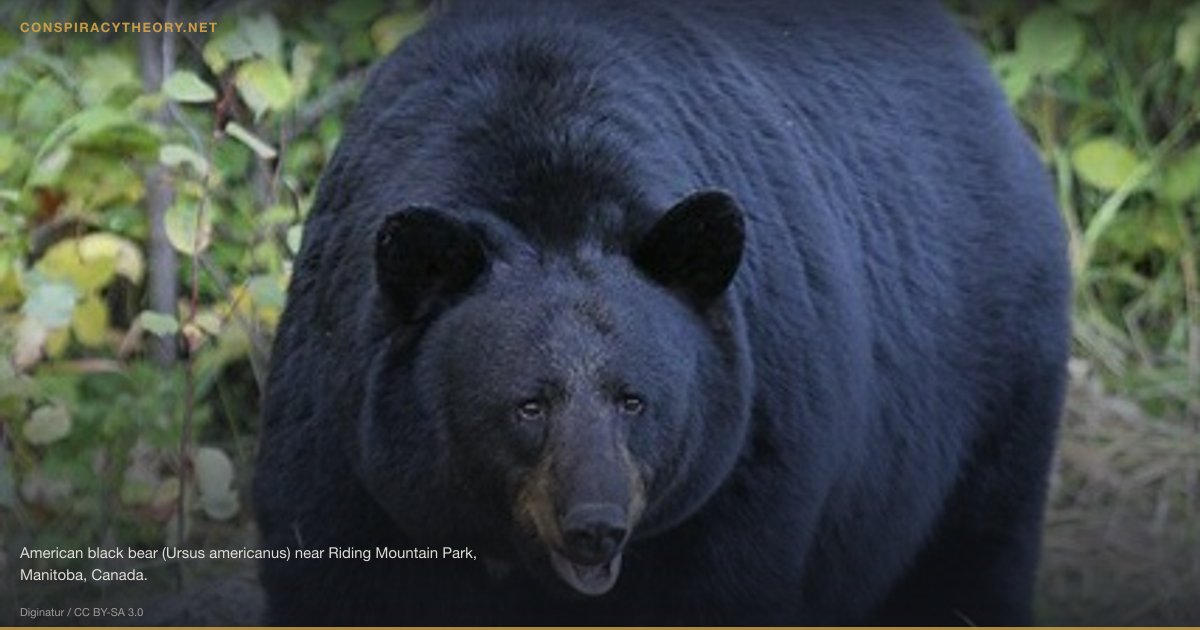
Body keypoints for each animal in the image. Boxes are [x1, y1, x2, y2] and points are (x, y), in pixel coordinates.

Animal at [253, 0, 1071, 625]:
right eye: (527, 405)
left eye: (634, 400)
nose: (595, 528)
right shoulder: (345, 449)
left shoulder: (750, 456)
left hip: (996, 382)